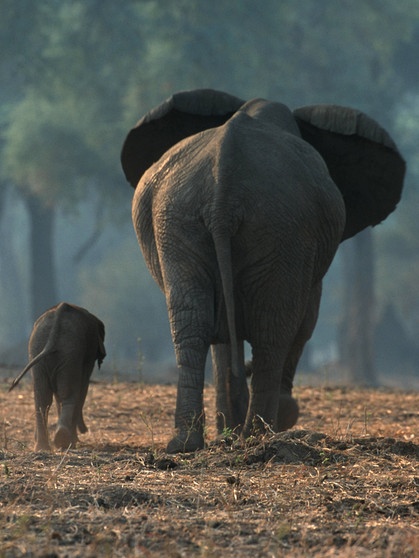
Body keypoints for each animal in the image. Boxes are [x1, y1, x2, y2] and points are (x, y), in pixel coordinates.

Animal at [9, 304, 106, 452]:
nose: (85, 430)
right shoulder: (88, 355)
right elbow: (82, 387)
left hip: (39, 350)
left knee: (43, 398)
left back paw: (43, 447)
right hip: (70, 354)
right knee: (69, 394)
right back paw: (65, 442)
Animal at [120, 88, 404, 456]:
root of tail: (223, 191)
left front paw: (228, 430)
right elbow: (304, 318)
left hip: (182, 220)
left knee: (193, 321)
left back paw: (189, 443)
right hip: (280, 228)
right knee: (274, 328)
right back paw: (259, 436)